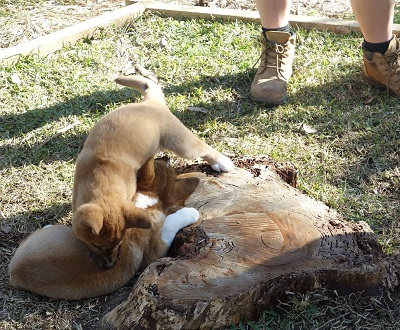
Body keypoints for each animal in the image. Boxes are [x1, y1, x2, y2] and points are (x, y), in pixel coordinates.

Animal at [10, 157, 200, 300]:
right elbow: (171, 222)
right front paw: (191, 212)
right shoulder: (156, 250)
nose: (166, 157)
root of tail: (14, 269)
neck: (145, 201)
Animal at [73, 75, 233, 268]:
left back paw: (222, 161)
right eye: (96, 245)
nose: (108, 265)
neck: (103, 179)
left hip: (183, 145)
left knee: (203, 148)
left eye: (119, 242)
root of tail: (151, 103)